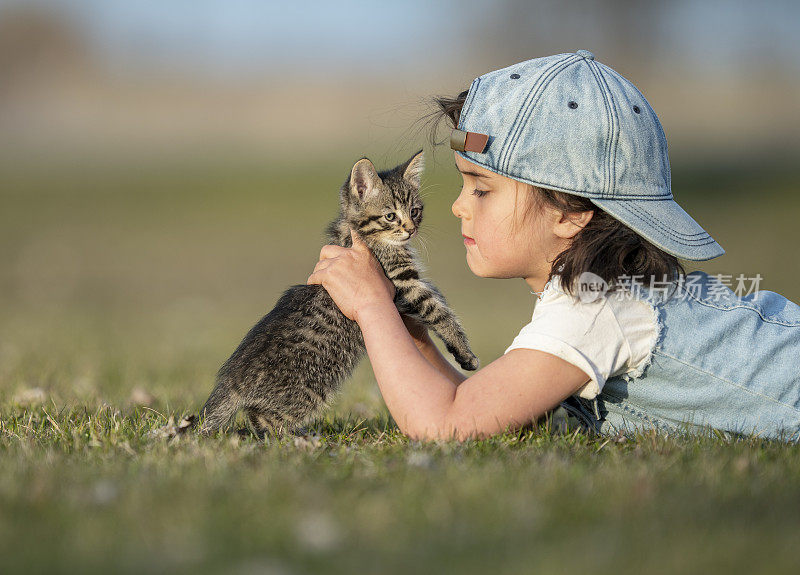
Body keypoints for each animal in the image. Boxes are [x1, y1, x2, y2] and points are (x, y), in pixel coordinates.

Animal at [198, 151, 476, 434]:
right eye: (390, 216)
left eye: (415, 211)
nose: (411, 229)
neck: (359, 231)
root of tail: (233, 380)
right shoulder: (402, 283)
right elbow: (438, 310)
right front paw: (464, 351)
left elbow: (438, 297)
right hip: (307, 391)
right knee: (261, 421)